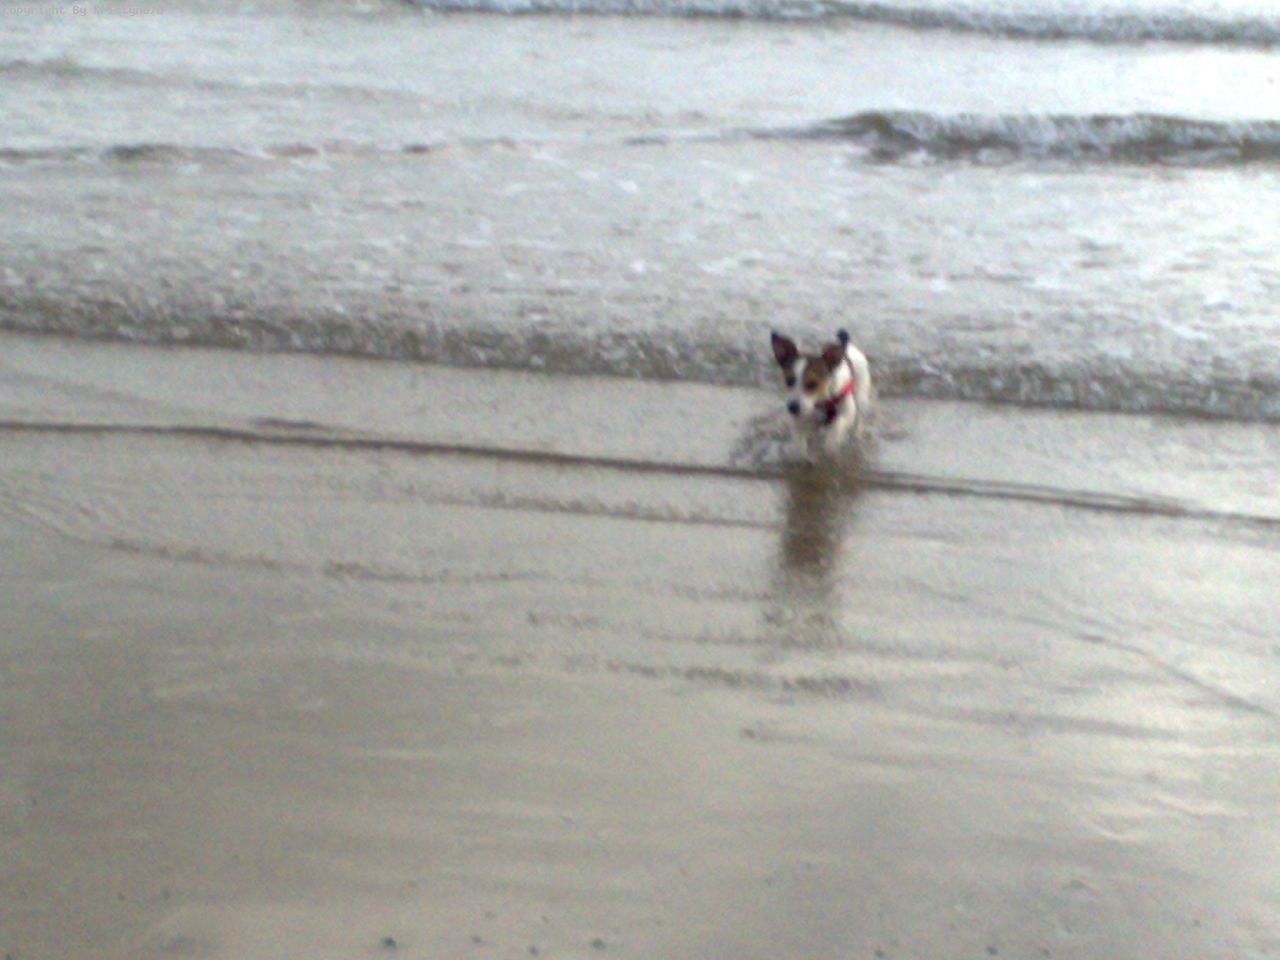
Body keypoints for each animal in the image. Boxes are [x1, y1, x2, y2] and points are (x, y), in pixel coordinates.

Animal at [771, 329, 874, 459]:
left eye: (813, 384)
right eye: (789, 381)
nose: (792, 407)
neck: (820, 401)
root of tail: (849, 347)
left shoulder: (847, 412)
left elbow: (837, 425)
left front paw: (831, 444)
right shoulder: (797, 421)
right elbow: (800, 444)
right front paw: (802, 455)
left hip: (861, 397)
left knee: (859, 418)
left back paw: (856, 435)